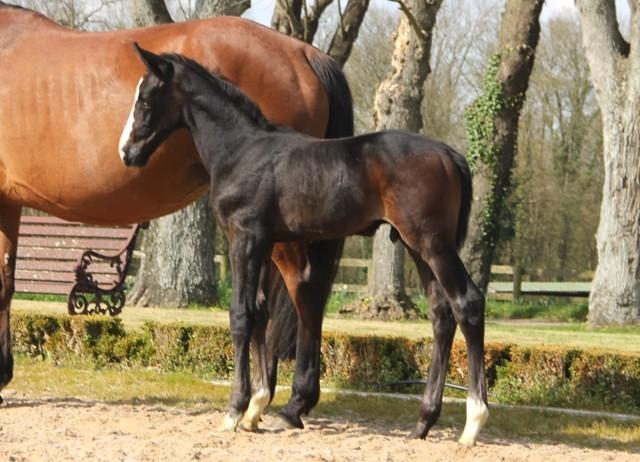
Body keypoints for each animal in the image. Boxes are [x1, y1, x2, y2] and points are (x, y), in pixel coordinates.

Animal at [0, 2, 352, 429]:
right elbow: (5, 285)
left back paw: (292, 404)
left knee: (304, 288)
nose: (125, 149)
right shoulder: (8, 202)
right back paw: (261, 401)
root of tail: (303, 52)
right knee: (270, 303)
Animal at [119, 45, 489, 446]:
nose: (126, 153)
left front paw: (234, 411)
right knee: (441, 313)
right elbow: (259, 312)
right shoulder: (264, 242)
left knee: (467, 303)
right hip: (416, 246)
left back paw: (472, 423)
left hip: (432, 243)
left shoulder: (244, 237)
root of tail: (450, 155)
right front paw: (256, 408)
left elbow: (241, 315)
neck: (241, 151)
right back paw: (423, 422)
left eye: (145, 97)